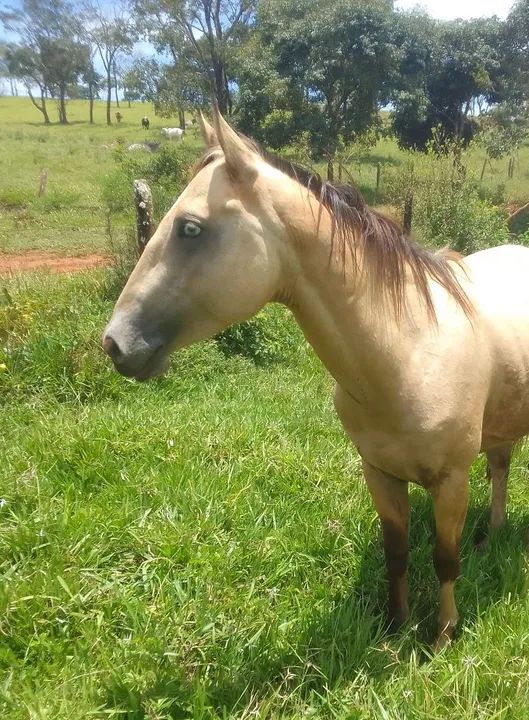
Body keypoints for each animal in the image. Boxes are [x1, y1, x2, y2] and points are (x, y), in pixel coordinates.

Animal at [103, 108, 529, 650]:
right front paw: (396, 629)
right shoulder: (379, 474)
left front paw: (441, 637)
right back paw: (492, 536)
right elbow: (397, 555)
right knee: (501, 467)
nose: (115, 343)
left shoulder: (450, 483)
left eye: (190, 228)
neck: (409, 349)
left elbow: (444, 561)